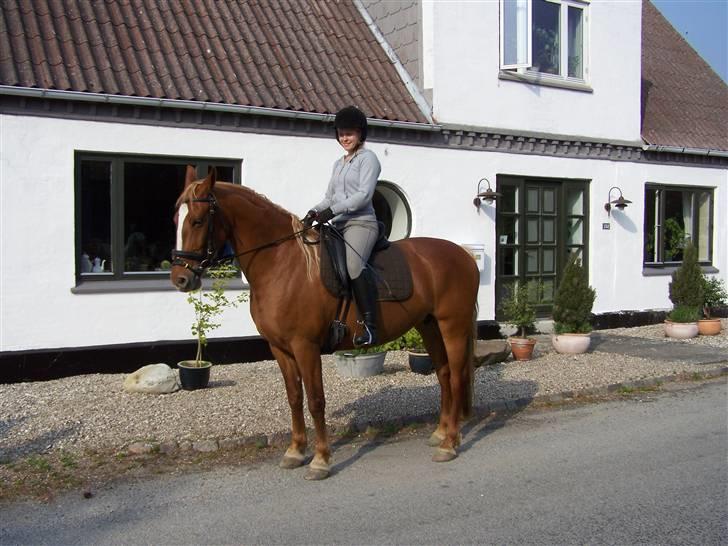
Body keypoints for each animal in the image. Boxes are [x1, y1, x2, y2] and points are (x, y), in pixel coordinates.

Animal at [170, 165, 478, 476]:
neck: (282, 263)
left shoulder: (305, 346)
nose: (180, 279)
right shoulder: (279, 348)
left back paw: (449, 445)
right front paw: (295, 451)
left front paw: (320, 459)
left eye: (197, 221)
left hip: (452, 326)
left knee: (456, 376)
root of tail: (463, 254)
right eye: (175, 220)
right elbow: (295, 397)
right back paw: (441, 433)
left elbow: (316, 401)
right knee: (444, 374)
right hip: (429, 326)